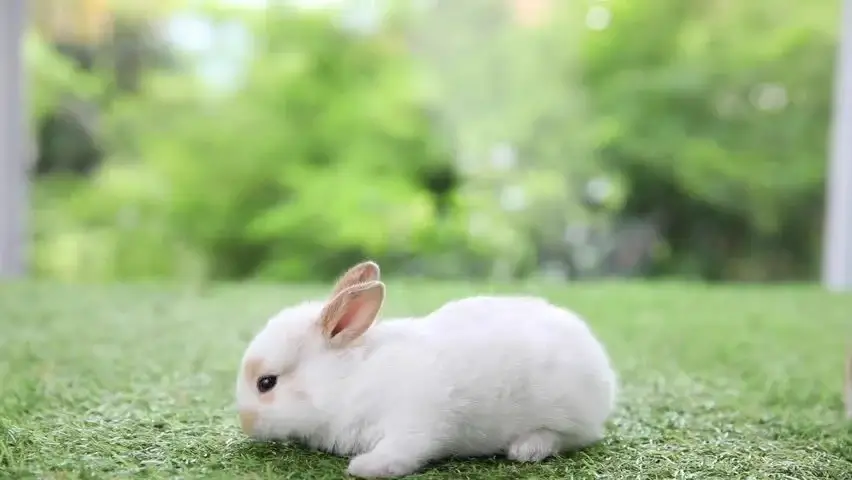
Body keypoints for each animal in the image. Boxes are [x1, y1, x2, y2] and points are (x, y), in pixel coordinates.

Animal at [235, 260, 617, 478]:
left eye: (266, 383)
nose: (245, 423)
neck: (346, 381)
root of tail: (603, 368)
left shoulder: (416, 420)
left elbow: (404, 450)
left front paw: (366, 468)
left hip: (565, 412)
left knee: (570, 437)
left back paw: (527, 449)